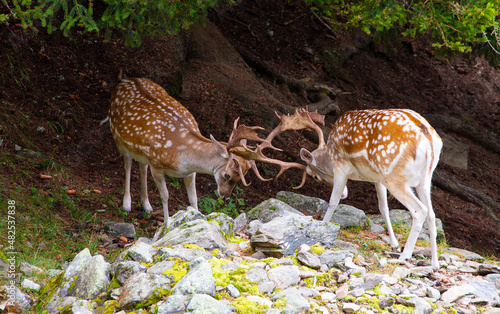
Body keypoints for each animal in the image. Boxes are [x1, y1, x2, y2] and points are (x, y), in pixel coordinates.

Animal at [229, 109, 444, 268]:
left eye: (315, 176)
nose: (346, 193)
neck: (330, 152)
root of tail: (429, 140)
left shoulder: (342, 166)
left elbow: (332, 202)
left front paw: (321, 230)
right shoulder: (376, 177)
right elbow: (383, 208)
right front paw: (394, 243)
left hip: (394, 175)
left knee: (420, 210)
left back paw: (405, 256)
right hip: (424, 179)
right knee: (432, 214)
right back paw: (434, 263)